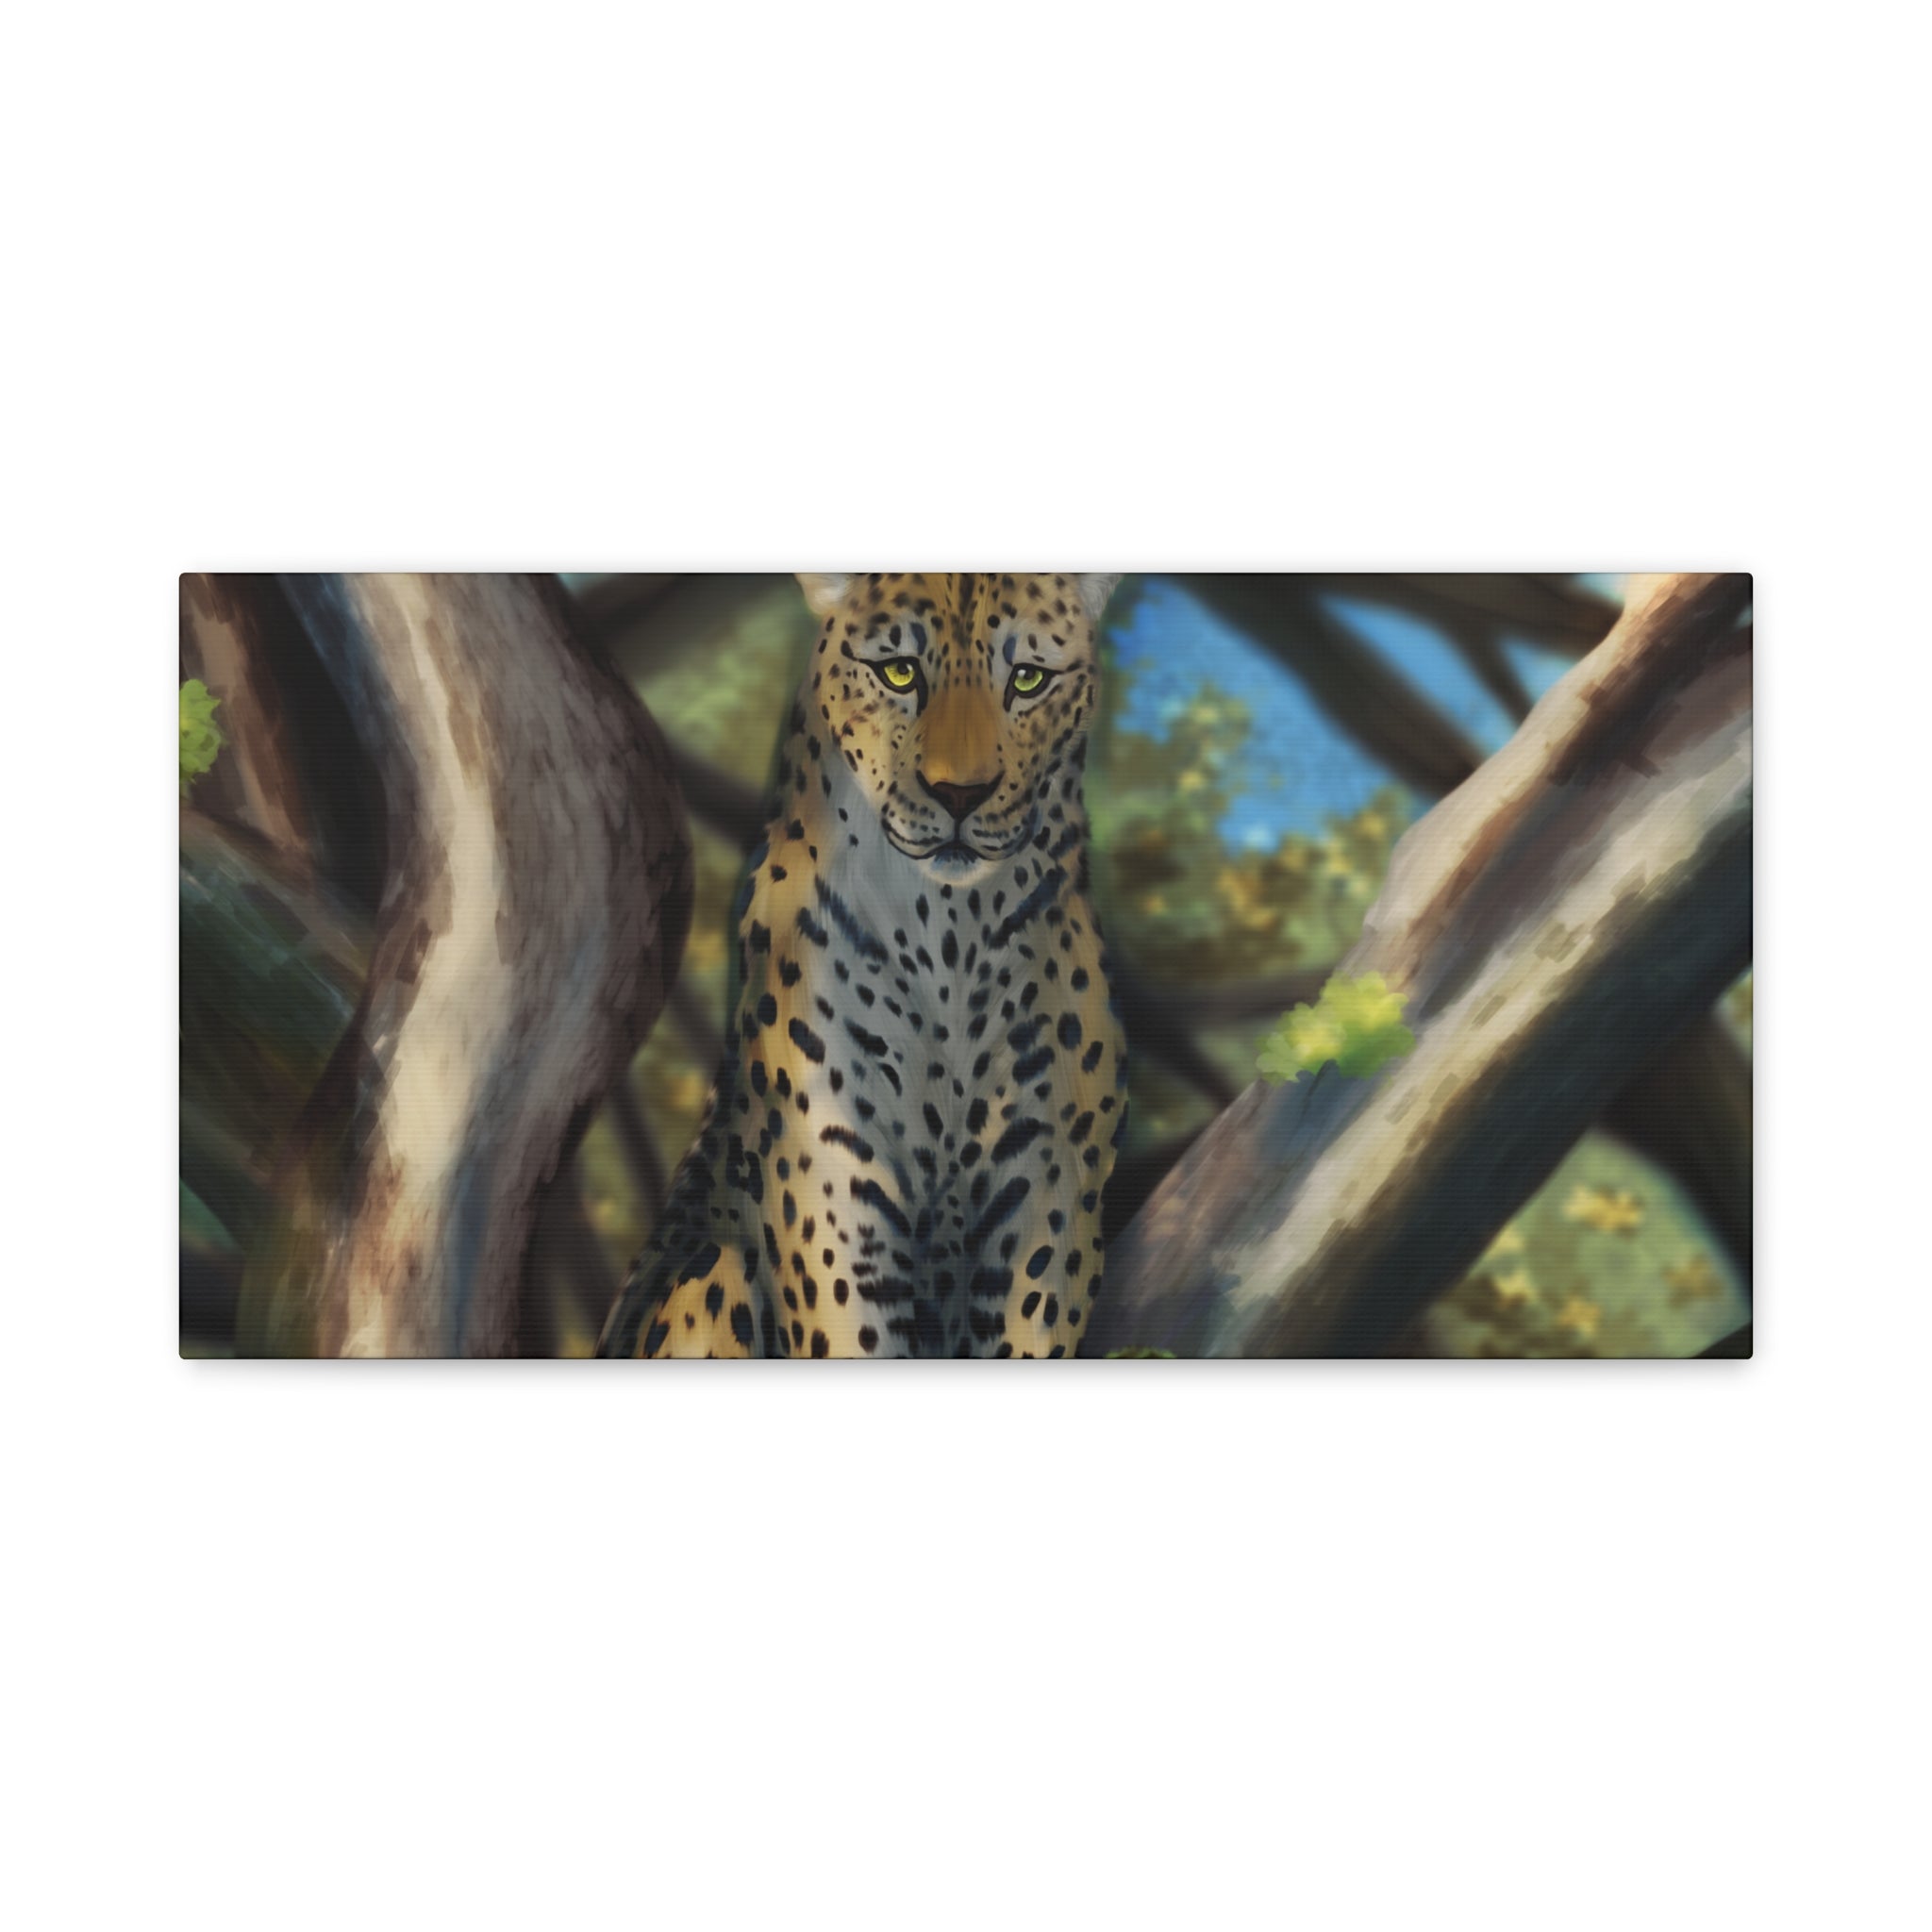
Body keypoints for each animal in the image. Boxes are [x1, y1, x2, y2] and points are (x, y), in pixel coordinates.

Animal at [597, 571, 1128, 1359]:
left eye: (1029, 679)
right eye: (899, 672)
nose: (960, 795)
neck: (950, 933)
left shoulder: (1049, 1190)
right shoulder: (832, 1184)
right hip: (708, 1278)